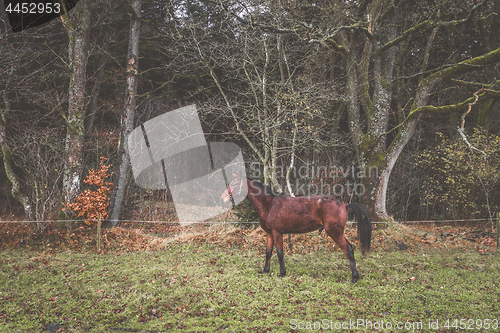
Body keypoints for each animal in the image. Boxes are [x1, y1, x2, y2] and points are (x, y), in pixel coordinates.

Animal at [220, 176, 372, 282]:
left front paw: (282, 273)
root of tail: (343, 204)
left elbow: (280, 253)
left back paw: (354, 278)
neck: (269, 204)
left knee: (348, 250)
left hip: (335, 232)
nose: (223, 199)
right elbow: (268, 252)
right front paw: (265, 271)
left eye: (234, 184)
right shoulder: (269, 234)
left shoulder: (277, 233)